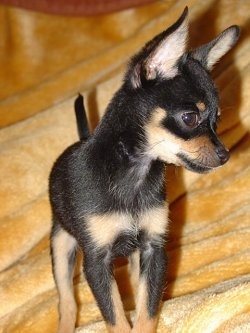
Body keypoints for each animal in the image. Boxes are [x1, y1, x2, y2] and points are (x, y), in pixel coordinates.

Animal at [49, 7, 240, 332]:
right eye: (190, 118)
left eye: (217, 120)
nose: (224, 155)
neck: (134, 176)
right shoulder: (97, 262)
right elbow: (115, 317)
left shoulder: (153, 250)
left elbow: (147, 310)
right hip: (62, 245)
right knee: (66, 300)